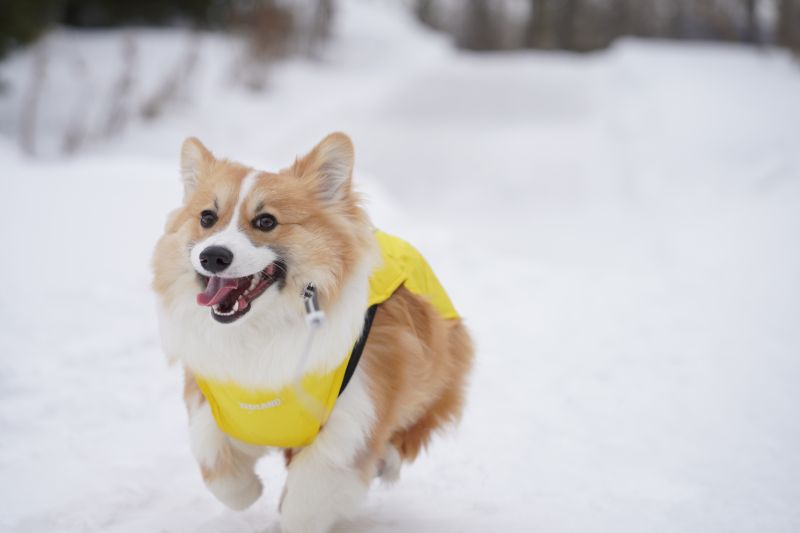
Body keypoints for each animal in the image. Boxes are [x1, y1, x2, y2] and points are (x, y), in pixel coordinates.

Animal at [153, 133, 472, 532]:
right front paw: (248, 491)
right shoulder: (215, 399)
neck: (262, 328)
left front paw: (290, 518)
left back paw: (388, 460)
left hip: (435, 373)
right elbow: (218, 465)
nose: (213, 256)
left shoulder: (355, 414)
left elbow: (310, 491)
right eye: (207, 218)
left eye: (266, 221)